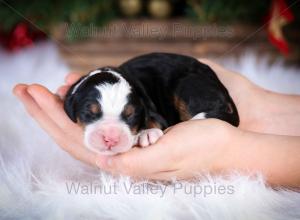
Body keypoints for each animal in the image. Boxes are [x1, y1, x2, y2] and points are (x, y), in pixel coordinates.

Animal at [63, 52, 239, 155]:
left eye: (131, 115)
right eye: (89, 112)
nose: (111, 139)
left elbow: (153, 120)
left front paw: (146, 134)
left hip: (188, 85)